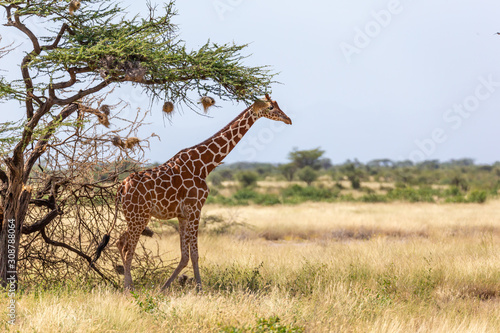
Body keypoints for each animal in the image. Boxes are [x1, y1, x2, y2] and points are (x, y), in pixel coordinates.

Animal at [93, 94, 292, 290]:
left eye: (278, 105)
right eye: (271, 107)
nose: (288, 119)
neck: (204, 165)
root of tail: (121, 188)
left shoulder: (182, 214)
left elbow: (184, 256)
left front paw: (164, 288)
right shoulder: (195, 208)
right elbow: (195, 253)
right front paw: (200, 289)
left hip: (135, 216)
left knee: (120, 242)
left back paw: (129, 285)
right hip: (139, 216)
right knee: (129, 249)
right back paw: (129, 289)